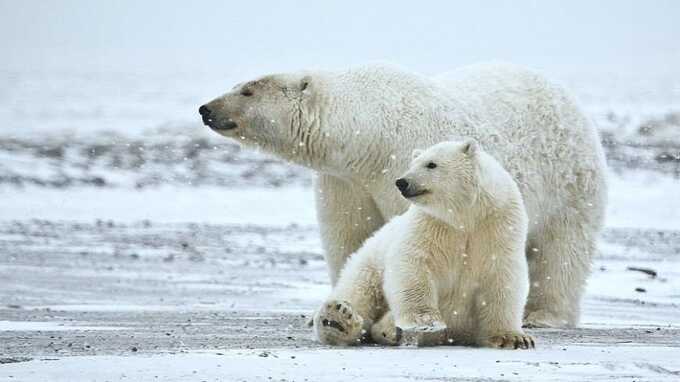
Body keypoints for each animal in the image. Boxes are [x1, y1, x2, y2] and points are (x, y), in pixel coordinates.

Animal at [199, 62, 608, 328]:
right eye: (239, 82)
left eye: (248, 89)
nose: (205, 108)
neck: (368, 134)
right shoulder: (346, 180)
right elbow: (350, 237)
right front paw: (332, 309)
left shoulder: (403, 163)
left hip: (569, 181)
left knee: (561, 250)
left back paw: (543, 316)